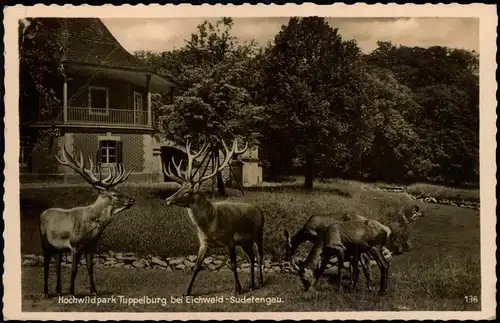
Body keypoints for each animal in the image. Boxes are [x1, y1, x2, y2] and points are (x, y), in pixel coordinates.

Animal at [40, 145, 135, 298]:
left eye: (118, 189)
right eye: (114, 194)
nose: (132, 199)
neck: (92, 230)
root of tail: (43, 213)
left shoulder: (91, 247)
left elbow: (91, 268)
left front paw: (94, 291)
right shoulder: (75, 245)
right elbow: (73, 270)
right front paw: (72, 292)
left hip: (59, 247)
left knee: (58, 264)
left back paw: (58, 290)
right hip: (44, 241)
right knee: (46, 264)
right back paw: (46, 292)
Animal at [164, 137, 266, 296]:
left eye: (187, 192)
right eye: (179, 188)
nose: (168, 199)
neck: (211, 225)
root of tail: (260, 210)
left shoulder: (229, 240)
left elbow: (233, 264)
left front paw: (237, 289)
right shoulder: (204, 243)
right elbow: (196, 266)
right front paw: (187, 291)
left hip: (258, 233)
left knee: (260, 254)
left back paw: (260, 282)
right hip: (245, 241)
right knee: (251, 257)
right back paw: (251, 284)